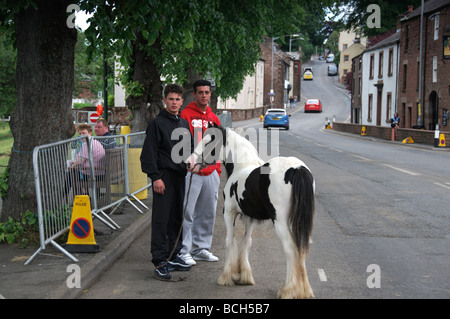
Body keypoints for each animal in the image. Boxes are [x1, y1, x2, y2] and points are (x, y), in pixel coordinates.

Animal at [185, 125, 314, 300]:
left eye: (207, 142)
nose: (188, 163)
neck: (241, 167)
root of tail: (296, 168)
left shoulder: (229, 213)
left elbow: (230, 241)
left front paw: (226, 277)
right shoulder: (250, 217)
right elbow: (246, 242)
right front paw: (244, 277)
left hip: (281, 222)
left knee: (290, 249)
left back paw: (287, 290)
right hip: (296, 221)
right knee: (301, 248)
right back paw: (303, 291)